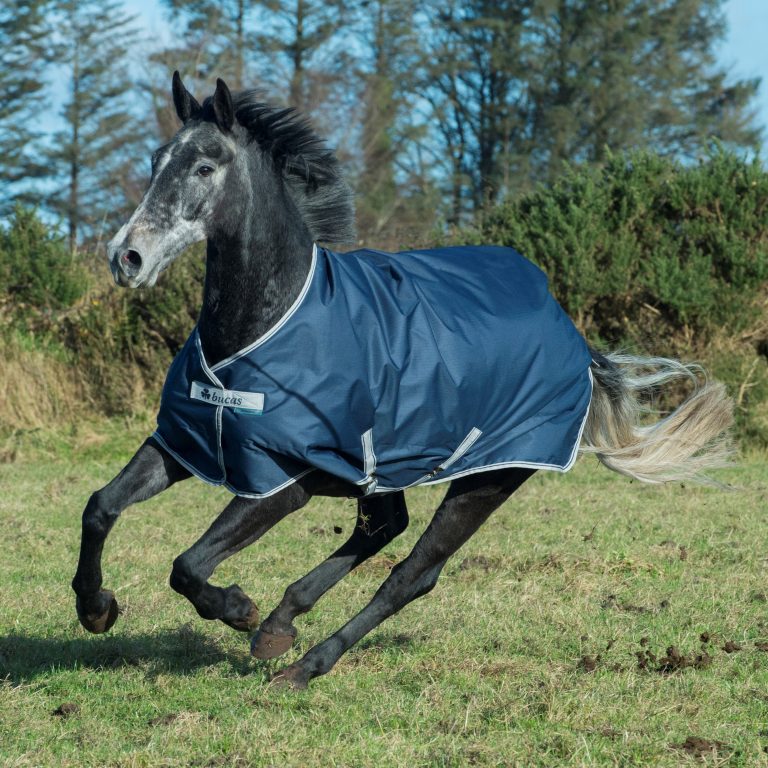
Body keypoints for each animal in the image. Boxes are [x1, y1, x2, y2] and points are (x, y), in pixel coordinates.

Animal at [72, 72, 733, 689]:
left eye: (205, 166)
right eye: (156, 160)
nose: (126, 257)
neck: (266, 324)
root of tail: (577, 342)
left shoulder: (285, 481)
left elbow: (188, 564)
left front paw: (237, 607)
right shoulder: (188, 442)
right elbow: (100, 506)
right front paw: (96, 608)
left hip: (486, 479)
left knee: (413, 573)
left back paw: (304, 661)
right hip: (380, 468)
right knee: (386, 528)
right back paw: (282, 624)